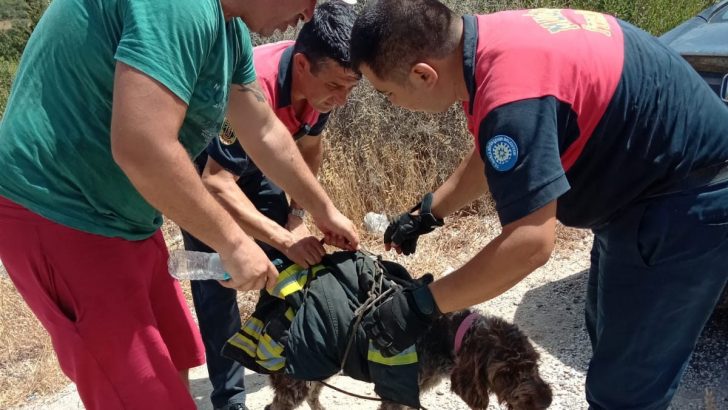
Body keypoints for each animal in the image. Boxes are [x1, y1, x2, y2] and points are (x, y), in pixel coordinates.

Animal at [264, 308, 552, 410]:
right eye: (505, 374)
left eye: (534, 364)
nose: (545, 402)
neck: (444, 334)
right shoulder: (394, 395)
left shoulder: (411, 393)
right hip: (296, 382)